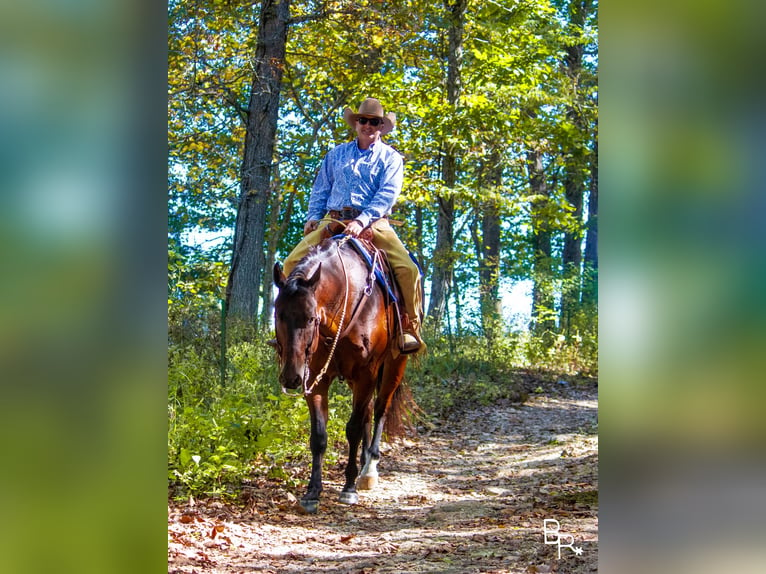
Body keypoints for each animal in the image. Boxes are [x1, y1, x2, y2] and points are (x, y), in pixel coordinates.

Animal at [272, 236, 412, 516]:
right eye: (278, 314)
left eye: (310, 318)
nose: (291, 377)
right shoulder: (316, 378)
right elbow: (319, 436)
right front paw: (312, 492)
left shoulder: (366, 374)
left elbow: (353, 429)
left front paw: (348, 487)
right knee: (367, 413)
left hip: (393, 367)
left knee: (379, 411)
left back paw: (368, 470)